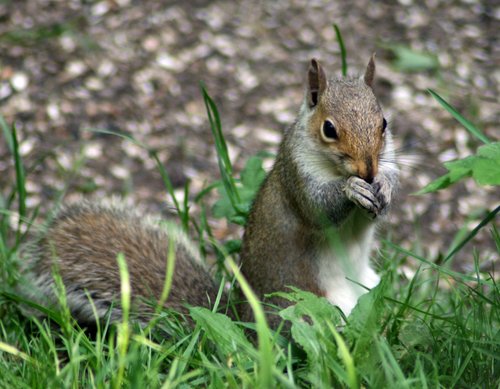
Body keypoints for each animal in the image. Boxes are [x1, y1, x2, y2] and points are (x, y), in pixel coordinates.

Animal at [20, 55, 398, 324]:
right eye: (329, 129)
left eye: (384, 123)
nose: (367, 170)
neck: (334, 167)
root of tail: (245, 326)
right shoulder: (297, 176)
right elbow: (319, 208)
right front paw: (352, 189)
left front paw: (385, 187)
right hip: (307, 311)